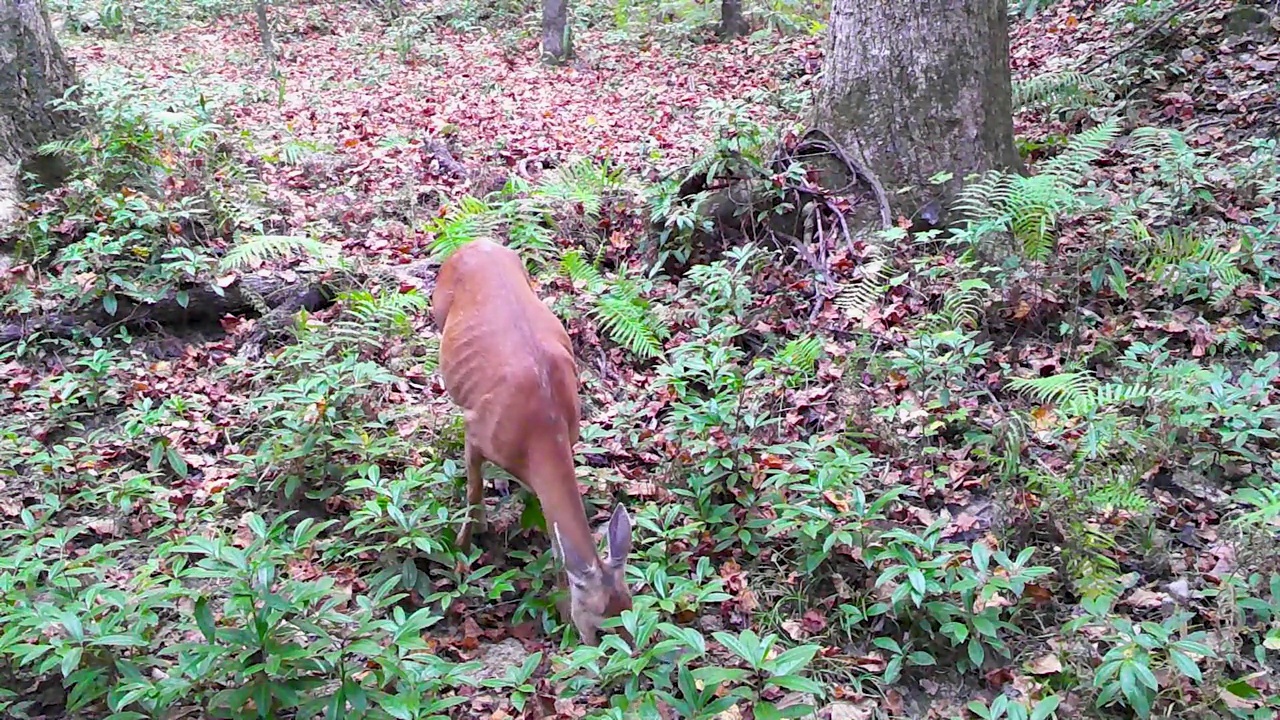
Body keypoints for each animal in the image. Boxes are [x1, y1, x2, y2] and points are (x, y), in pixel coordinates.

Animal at [432, 237, 632, 645]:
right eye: (600, 630)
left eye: (633, 610)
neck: (541, 430)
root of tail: (476, 242)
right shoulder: (477, 433)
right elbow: (473, 492)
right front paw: (463, 548)